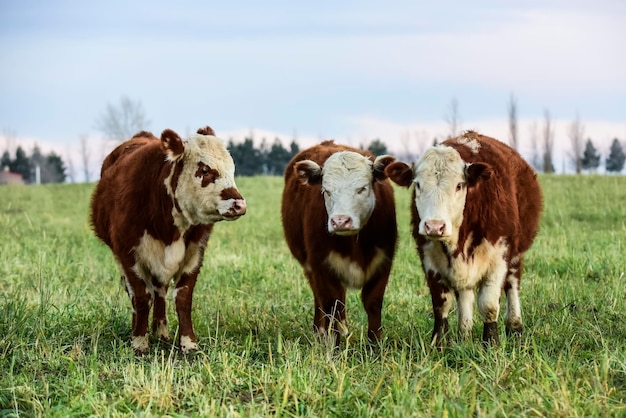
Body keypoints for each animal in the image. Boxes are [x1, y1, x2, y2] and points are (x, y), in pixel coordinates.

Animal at [90, 125, 246, 354]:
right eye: (205, 170)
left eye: (231, 169)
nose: (239, 205)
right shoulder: (129, 255)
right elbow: (141, 296)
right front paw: (139, 342)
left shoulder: (194, 253)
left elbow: (182, 297)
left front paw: (188, 344)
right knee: (136, 295)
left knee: (160, 293)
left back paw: (161, 332)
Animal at [282, 140, 398, 342]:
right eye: (326, 191)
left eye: (362, 188)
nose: (340, 221)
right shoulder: (321, 266)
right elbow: (331, 305)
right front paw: (333, 345)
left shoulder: (383, 262)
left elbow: (373, 302)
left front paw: (375, 344)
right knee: (321, 299)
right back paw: (320, 331)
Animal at [382, 132, 540, 344]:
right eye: (418, 184)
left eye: (459, 185)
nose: (434, 226)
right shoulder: (430, 260)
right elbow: (441, 303)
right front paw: (439, 343)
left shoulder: (499, 258)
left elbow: (489, 305)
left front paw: (491, 343)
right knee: (465, 295)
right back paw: (464, 335)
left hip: (516, 255)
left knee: (512, 284)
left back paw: (515, 327)